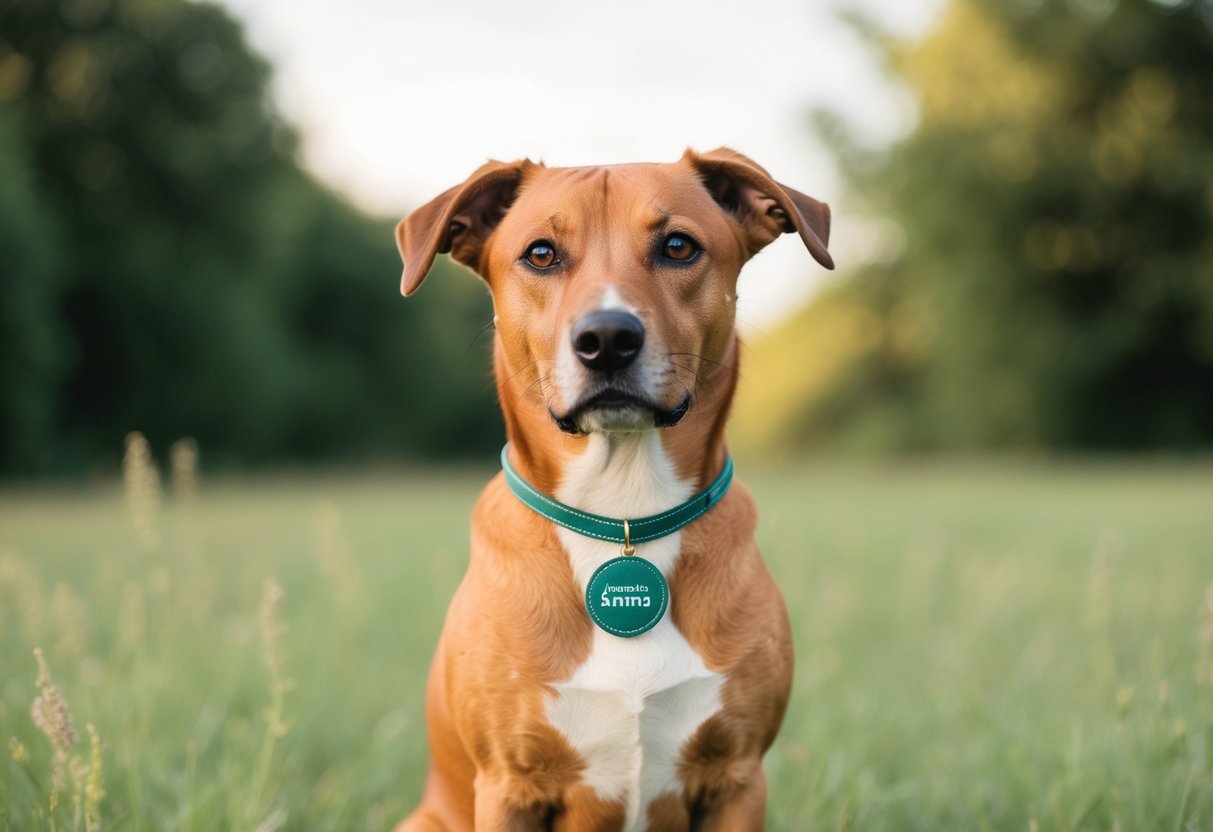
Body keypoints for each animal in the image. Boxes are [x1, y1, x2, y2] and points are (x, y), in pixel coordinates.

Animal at [397, 146, 834, 829]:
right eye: (541, 253)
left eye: (678, 245)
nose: (606, 339)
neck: (623, 513)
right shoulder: (509, 785)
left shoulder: (738, 777)